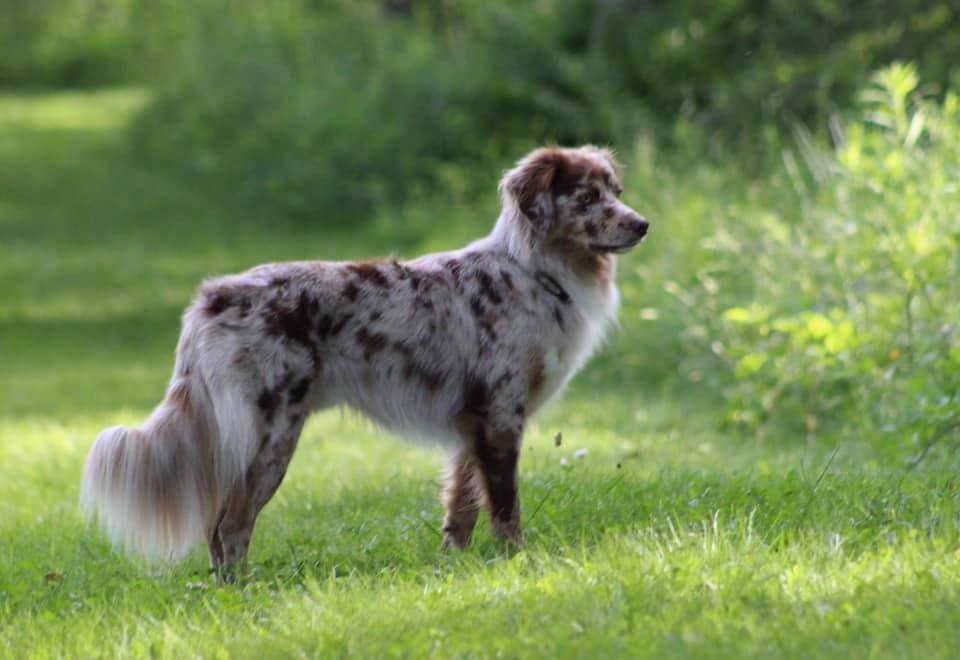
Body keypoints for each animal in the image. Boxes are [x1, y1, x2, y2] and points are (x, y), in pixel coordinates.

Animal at [82, 146, 648, 572]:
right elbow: (506, 509)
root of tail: (209, 300)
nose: (642, 224)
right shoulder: (501, 416)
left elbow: (462, 506)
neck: (533, 271)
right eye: (588, 197)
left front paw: (455, 566)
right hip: (270, 435)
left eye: (617, 192)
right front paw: (516, 563)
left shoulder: (472, 424)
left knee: (217, 526)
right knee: (231, 524)